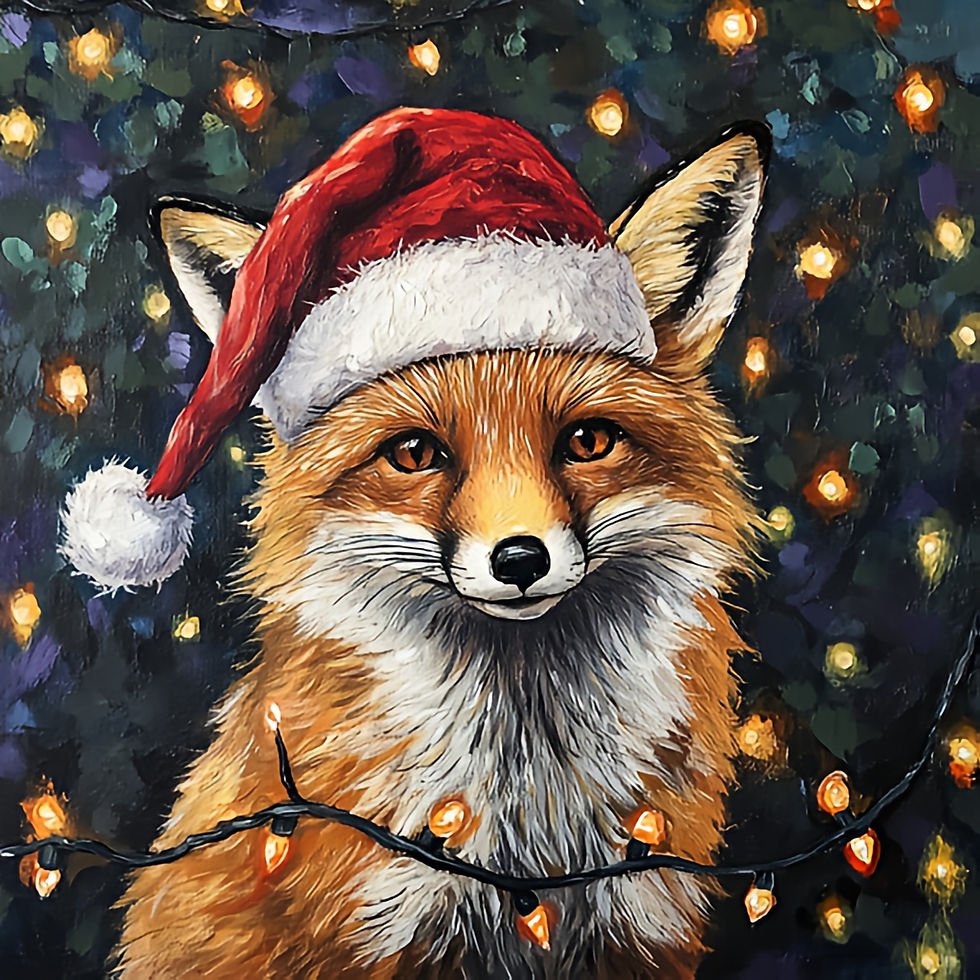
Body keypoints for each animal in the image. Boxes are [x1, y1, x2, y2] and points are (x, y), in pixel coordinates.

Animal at [99, 108, 769, 978]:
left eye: (587, 442)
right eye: (416, 454)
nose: (520, 559)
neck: (530, 839)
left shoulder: (639, 920)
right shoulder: (376, 930)